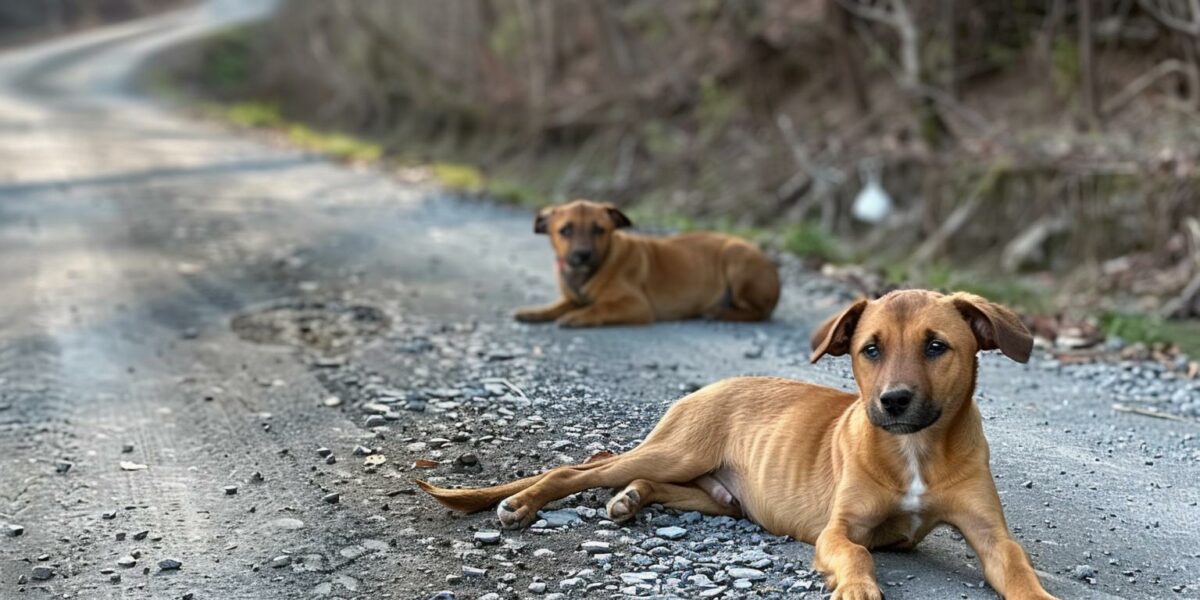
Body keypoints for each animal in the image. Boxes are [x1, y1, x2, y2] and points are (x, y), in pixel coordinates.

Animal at [417, 288, 1056, 597]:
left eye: (936, 347)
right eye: (870, 349)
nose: (893, 402)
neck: (915, 450)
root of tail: (710, 386)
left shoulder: (992, 535)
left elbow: (1019, 569)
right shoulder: (838, 531)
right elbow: (856, 555)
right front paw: (857, 589)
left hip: (718, 495)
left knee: (645, 480)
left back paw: (630, 500)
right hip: (680, 449)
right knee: (580, 468)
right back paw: (524, 505)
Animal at [513, 199, 777, 326]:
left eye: (599, 230)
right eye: (565, 230)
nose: (582, 255)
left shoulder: (635, 305)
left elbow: (600, 307)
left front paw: (576, 317)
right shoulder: (572, 298)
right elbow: (556, 306)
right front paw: (535, 312)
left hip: (737, 259)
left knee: (760, 313)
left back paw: (718, 312)